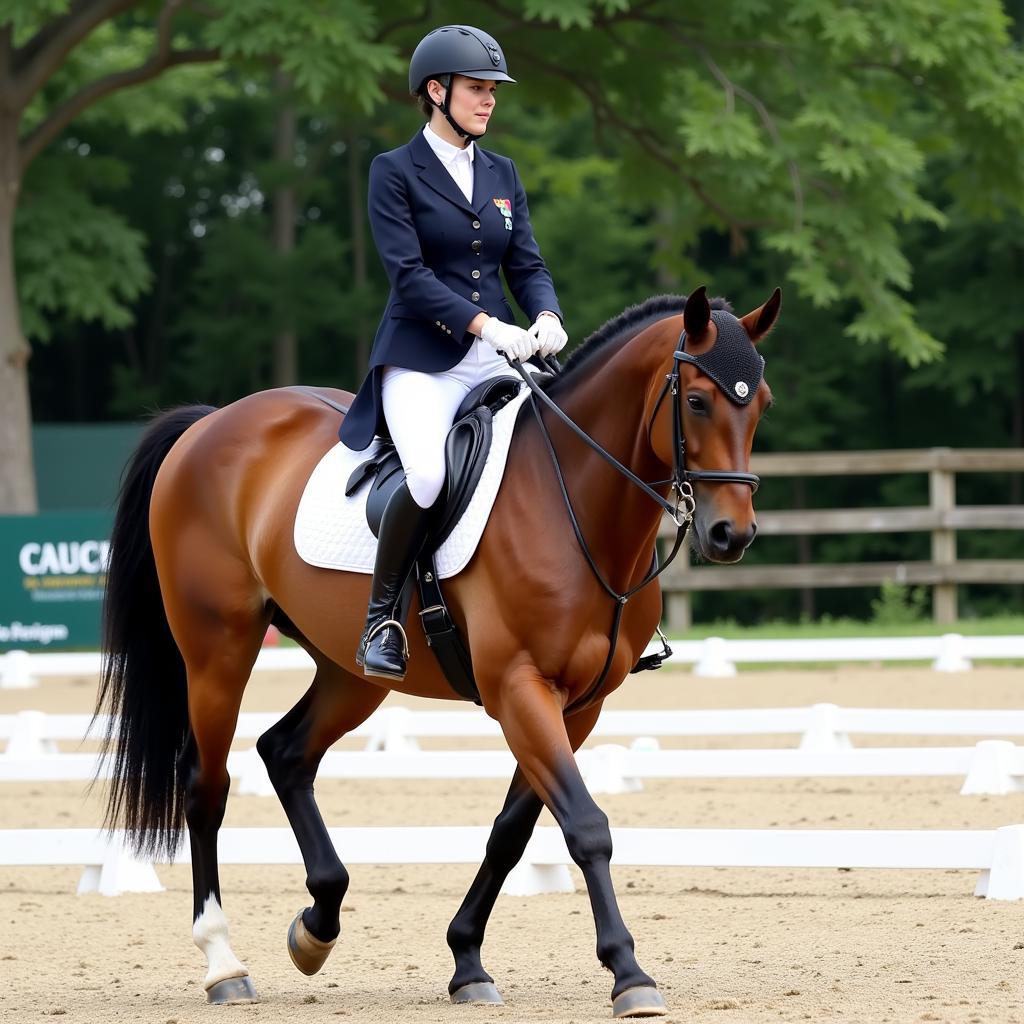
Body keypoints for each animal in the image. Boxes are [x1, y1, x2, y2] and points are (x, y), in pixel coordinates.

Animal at [97, 284, 774, 1019]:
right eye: (698, 400)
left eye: (761, 402)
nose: (731, 534)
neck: (573, 499)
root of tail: (211, 422)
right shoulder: (519, 687)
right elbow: (586, 825)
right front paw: (628, 973)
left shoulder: (577, 705)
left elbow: (513, 830)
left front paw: (467, 960)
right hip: (217, 650)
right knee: (207, 786)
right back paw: (224, 963)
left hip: (351, 672)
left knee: (286, 752)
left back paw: (317, 925)